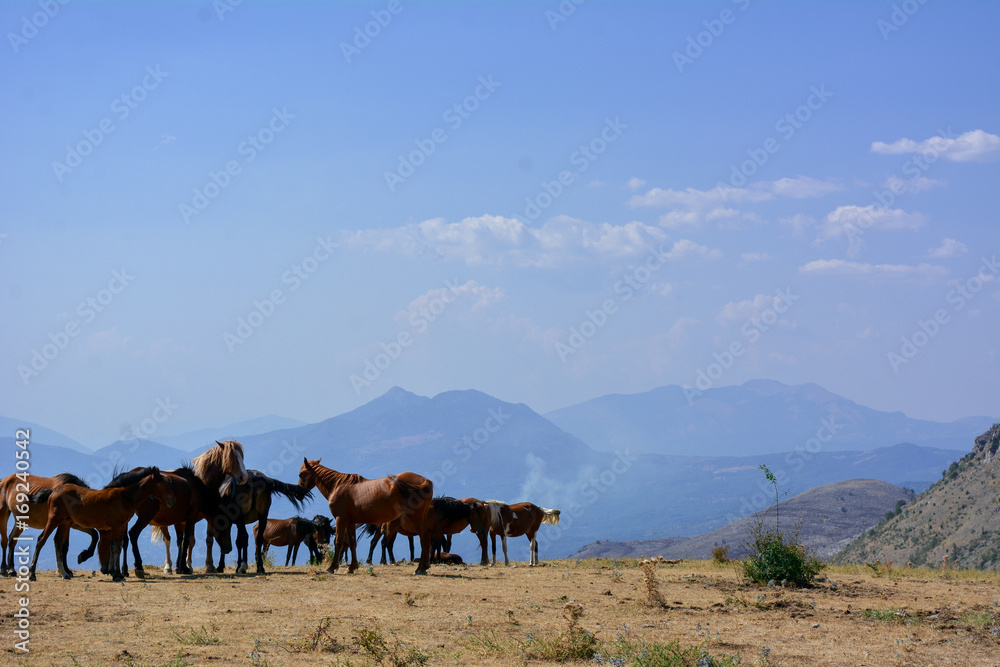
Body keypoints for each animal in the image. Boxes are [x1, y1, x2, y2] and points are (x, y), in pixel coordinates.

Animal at [26, 467, 175, 581]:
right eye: (162, 483)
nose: (171, 500)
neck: (124, 497)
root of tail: (54, 491)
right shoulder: (116, 525)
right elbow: (114, 547)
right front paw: (116, 575)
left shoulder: (121, 526)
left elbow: (118, 546)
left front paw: (118, 574)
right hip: (54, 519)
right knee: (41, 540)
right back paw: (32, 574)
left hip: (65, 522)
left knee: (58, 542)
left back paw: (64, 573)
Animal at [297, 458, 433, 575]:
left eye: (301, 474)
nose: (298, 494)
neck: (338, 486)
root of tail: (425, 481)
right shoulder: (350, 522)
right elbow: (352, 543)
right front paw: (352, 567)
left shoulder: (341, 519)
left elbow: (338, 542)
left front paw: (332, 567)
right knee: (425, 538)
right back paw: (423, 567)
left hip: (415, 518)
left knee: (424, 538)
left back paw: (420, 568)